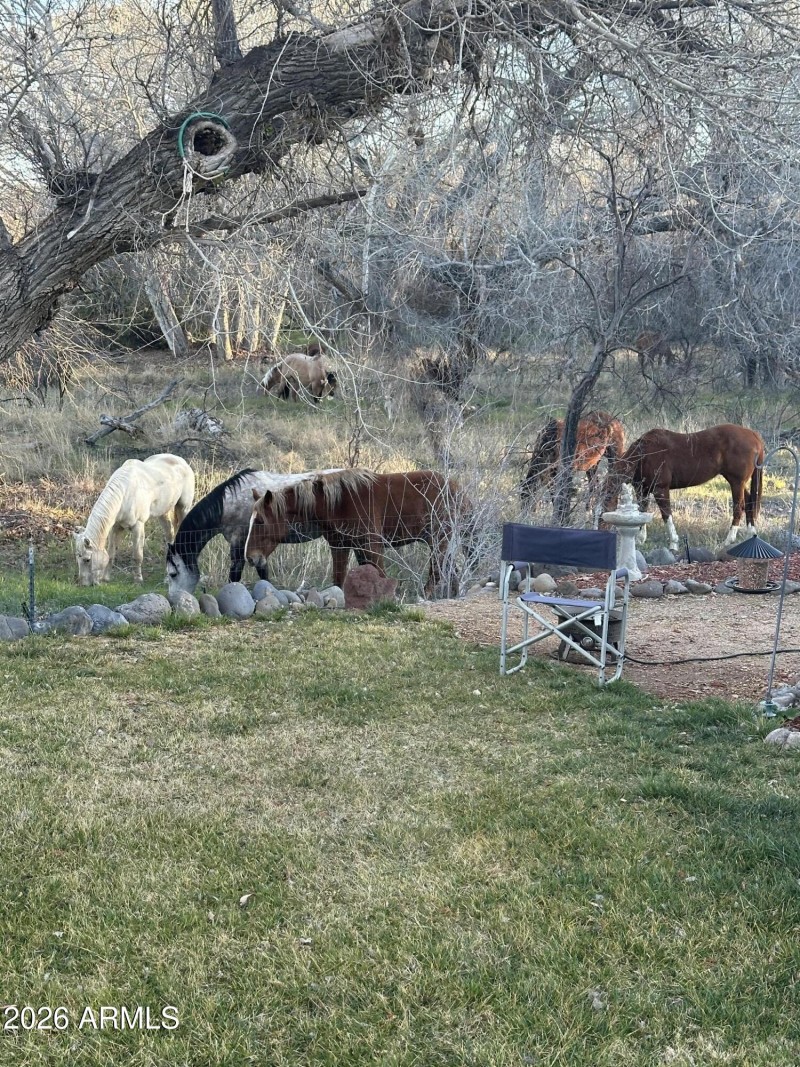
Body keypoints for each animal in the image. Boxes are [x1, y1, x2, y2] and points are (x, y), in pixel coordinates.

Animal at [74, 453, 195, 585]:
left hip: (183, 508)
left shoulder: (138, 526)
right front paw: (106, 578)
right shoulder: (116, 527)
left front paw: (138, 580)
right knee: (170, 537)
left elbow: (137, 555)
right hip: (163, 513)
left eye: (87, 559)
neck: (125, 493)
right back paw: (168, 577)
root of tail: (182, 461)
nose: (84, 584)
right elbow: (111, 553)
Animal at [164, 468, 343, 597]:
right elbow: (262, 570)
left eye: (173, 574)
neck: (228, 504)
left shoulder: (240, 541)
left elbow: (236, 573)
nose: (172, 598)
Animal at [245, 469, 472, 598]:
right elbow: (339, 579)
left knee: (437, 572)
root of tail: (457, 488)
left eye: (260, 521)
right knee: (450, 571)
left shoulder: (371, 546)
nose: (250, 557)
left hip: (438, 540)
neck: (338, 503)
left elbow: (380, 575)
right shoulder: (341, 546)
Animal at [603, 424, 765, 551]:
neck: (645, 453)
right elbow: (642, 511)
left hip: (736, 482)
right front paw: (640, 539)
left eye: (606, 492)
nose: (602, 516)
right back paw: (750, 535)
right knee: (749, 502)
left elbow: (666, 514)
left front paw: (673, 543)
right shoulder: (642, 490)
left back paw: (727, 541)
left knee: (738, 508)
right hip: (737, 482)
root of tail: (753, 435)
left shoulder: (660, 489)